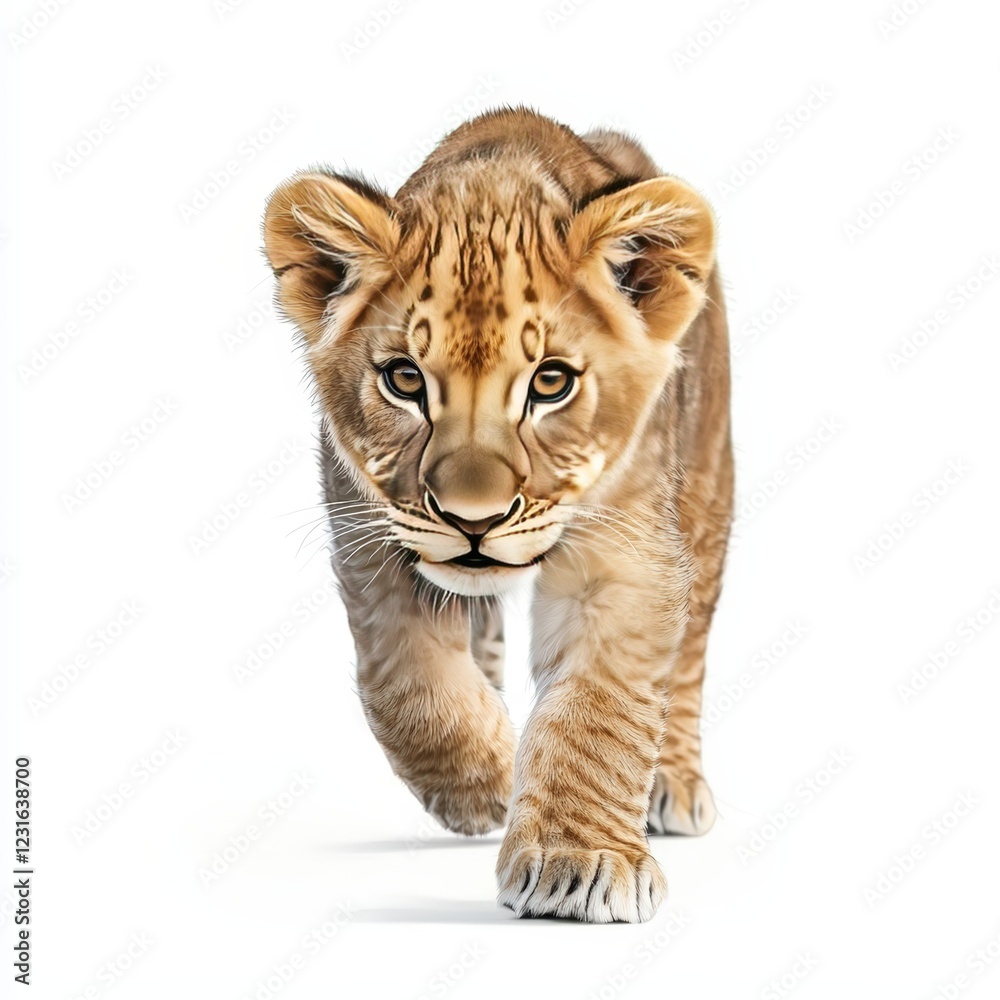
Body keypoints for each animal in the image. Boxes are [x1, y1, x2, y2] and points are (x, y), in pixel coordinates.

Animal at [263, 107, 733, 923]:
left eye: (550, 383)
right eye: (404, 379)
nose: (472, 520)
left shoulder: (625, 548)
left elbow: (601, 707)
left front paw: (578, 864)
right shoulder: (372, 531)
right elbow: (406, 679)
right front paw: (480, 780)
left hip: (707, 490)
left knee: (690, 651)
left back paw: (673, 784)